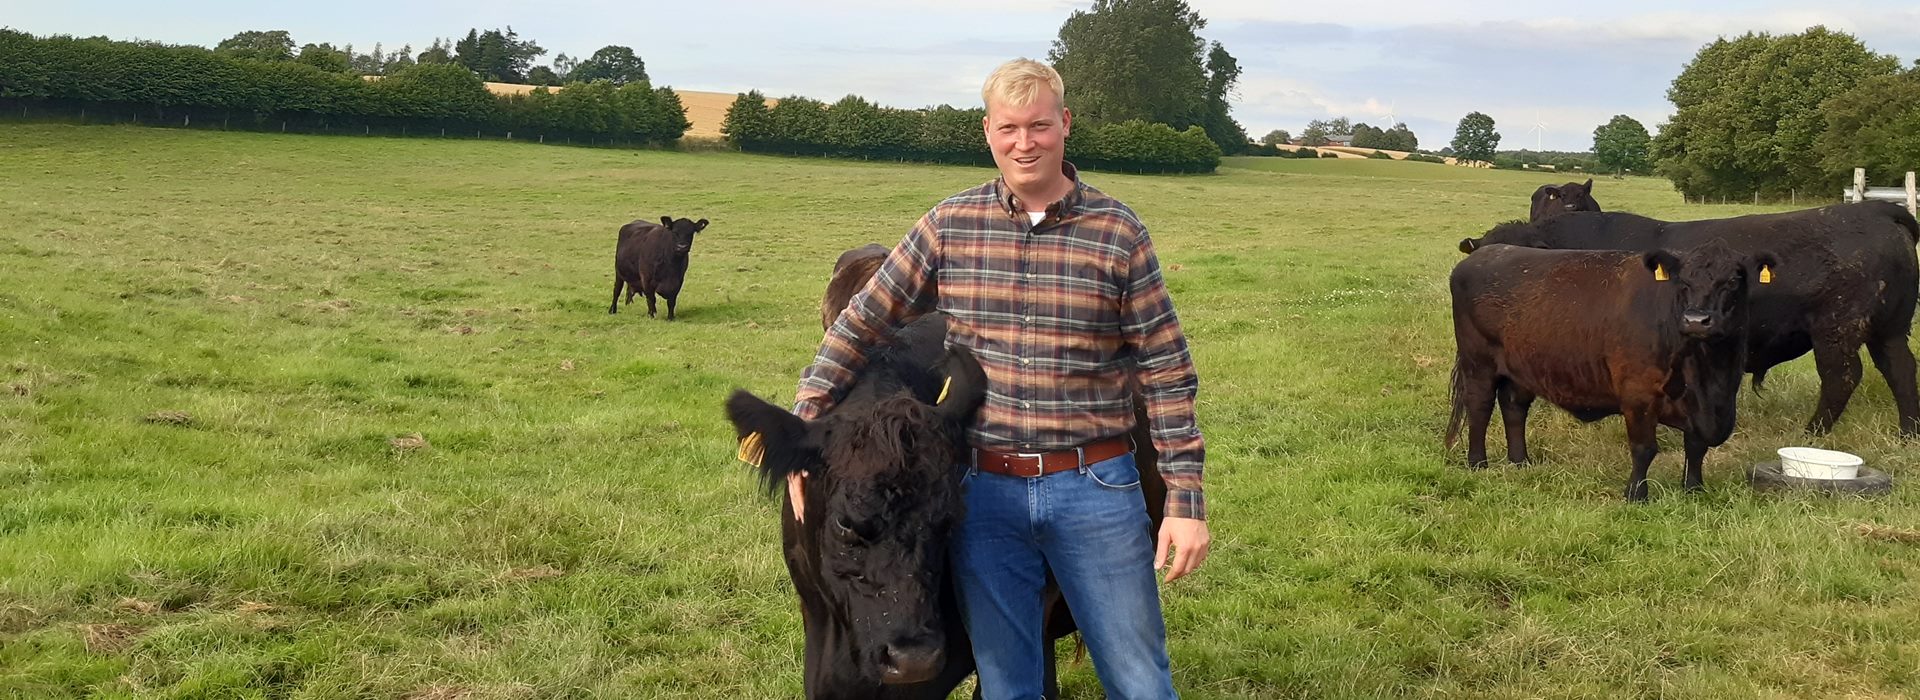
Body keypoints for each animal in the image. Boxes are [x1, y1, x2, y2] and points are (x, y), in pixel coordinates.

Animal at [1443, 242, 1774, 498]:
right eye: (1684, 282)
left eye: (1732, 281)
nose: (1696, 320)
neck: (1711, 374)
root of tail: (1483, 253)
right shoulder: (1638, 394)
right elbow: (1644, 448)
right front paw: (1636, 494)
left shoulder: (1701, 405)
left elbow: (1696, 447)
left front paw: (1693, 489)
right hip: (1478, 363)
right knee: (1480, 407)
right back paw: (1478, 463)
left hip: (1519, 366)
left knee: (1513, 407)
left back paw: (1520, 461)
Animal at [1451, 199, 1920, 433]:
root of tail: (1873, 209)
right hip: (1889, 329)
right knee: (1901, 370)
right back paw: (1907, 433)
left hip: (1837, 329)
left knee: (1842, 378)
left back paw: (1812, 432)